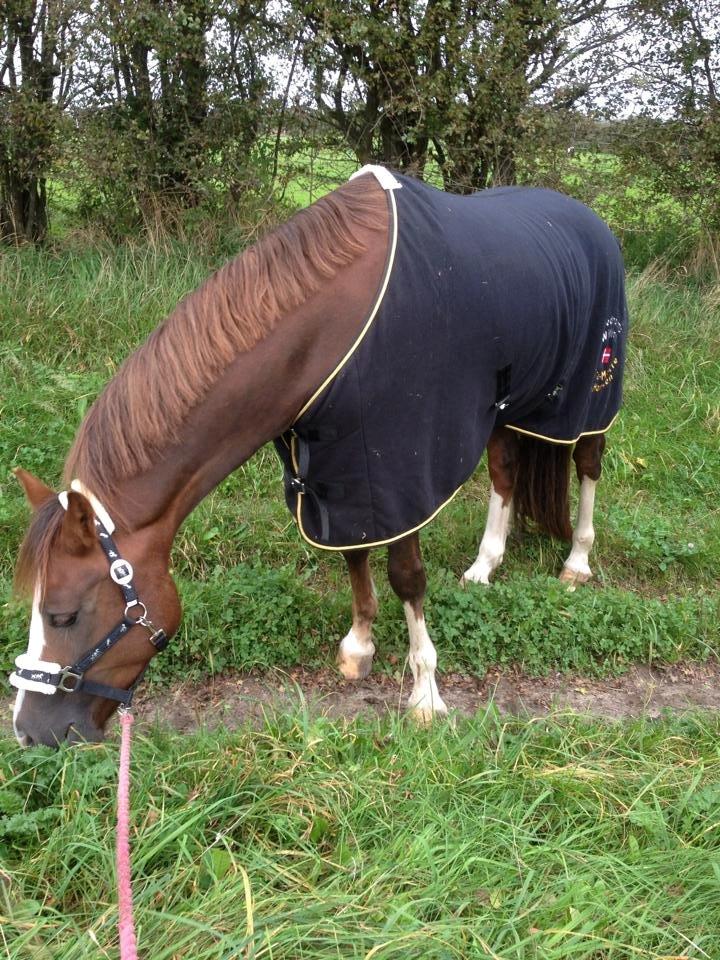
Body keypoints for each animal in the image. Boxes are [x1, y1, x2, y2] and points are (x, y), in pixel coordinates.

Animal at [8, 167, 624, 752]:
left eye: (62, 615)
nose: (28, 732)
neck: (330, 333)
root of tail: (588, 219)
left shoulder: (399, 465)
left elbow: (407, 577)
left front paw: (426, 694)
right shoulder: (343, 463)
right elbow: (354, 553)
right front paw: (360, 647)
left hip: (588, 395)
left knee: (588, 466)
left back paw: (577, 561)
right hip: (510, 404)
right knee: (504, 473)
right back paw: (484, 566)